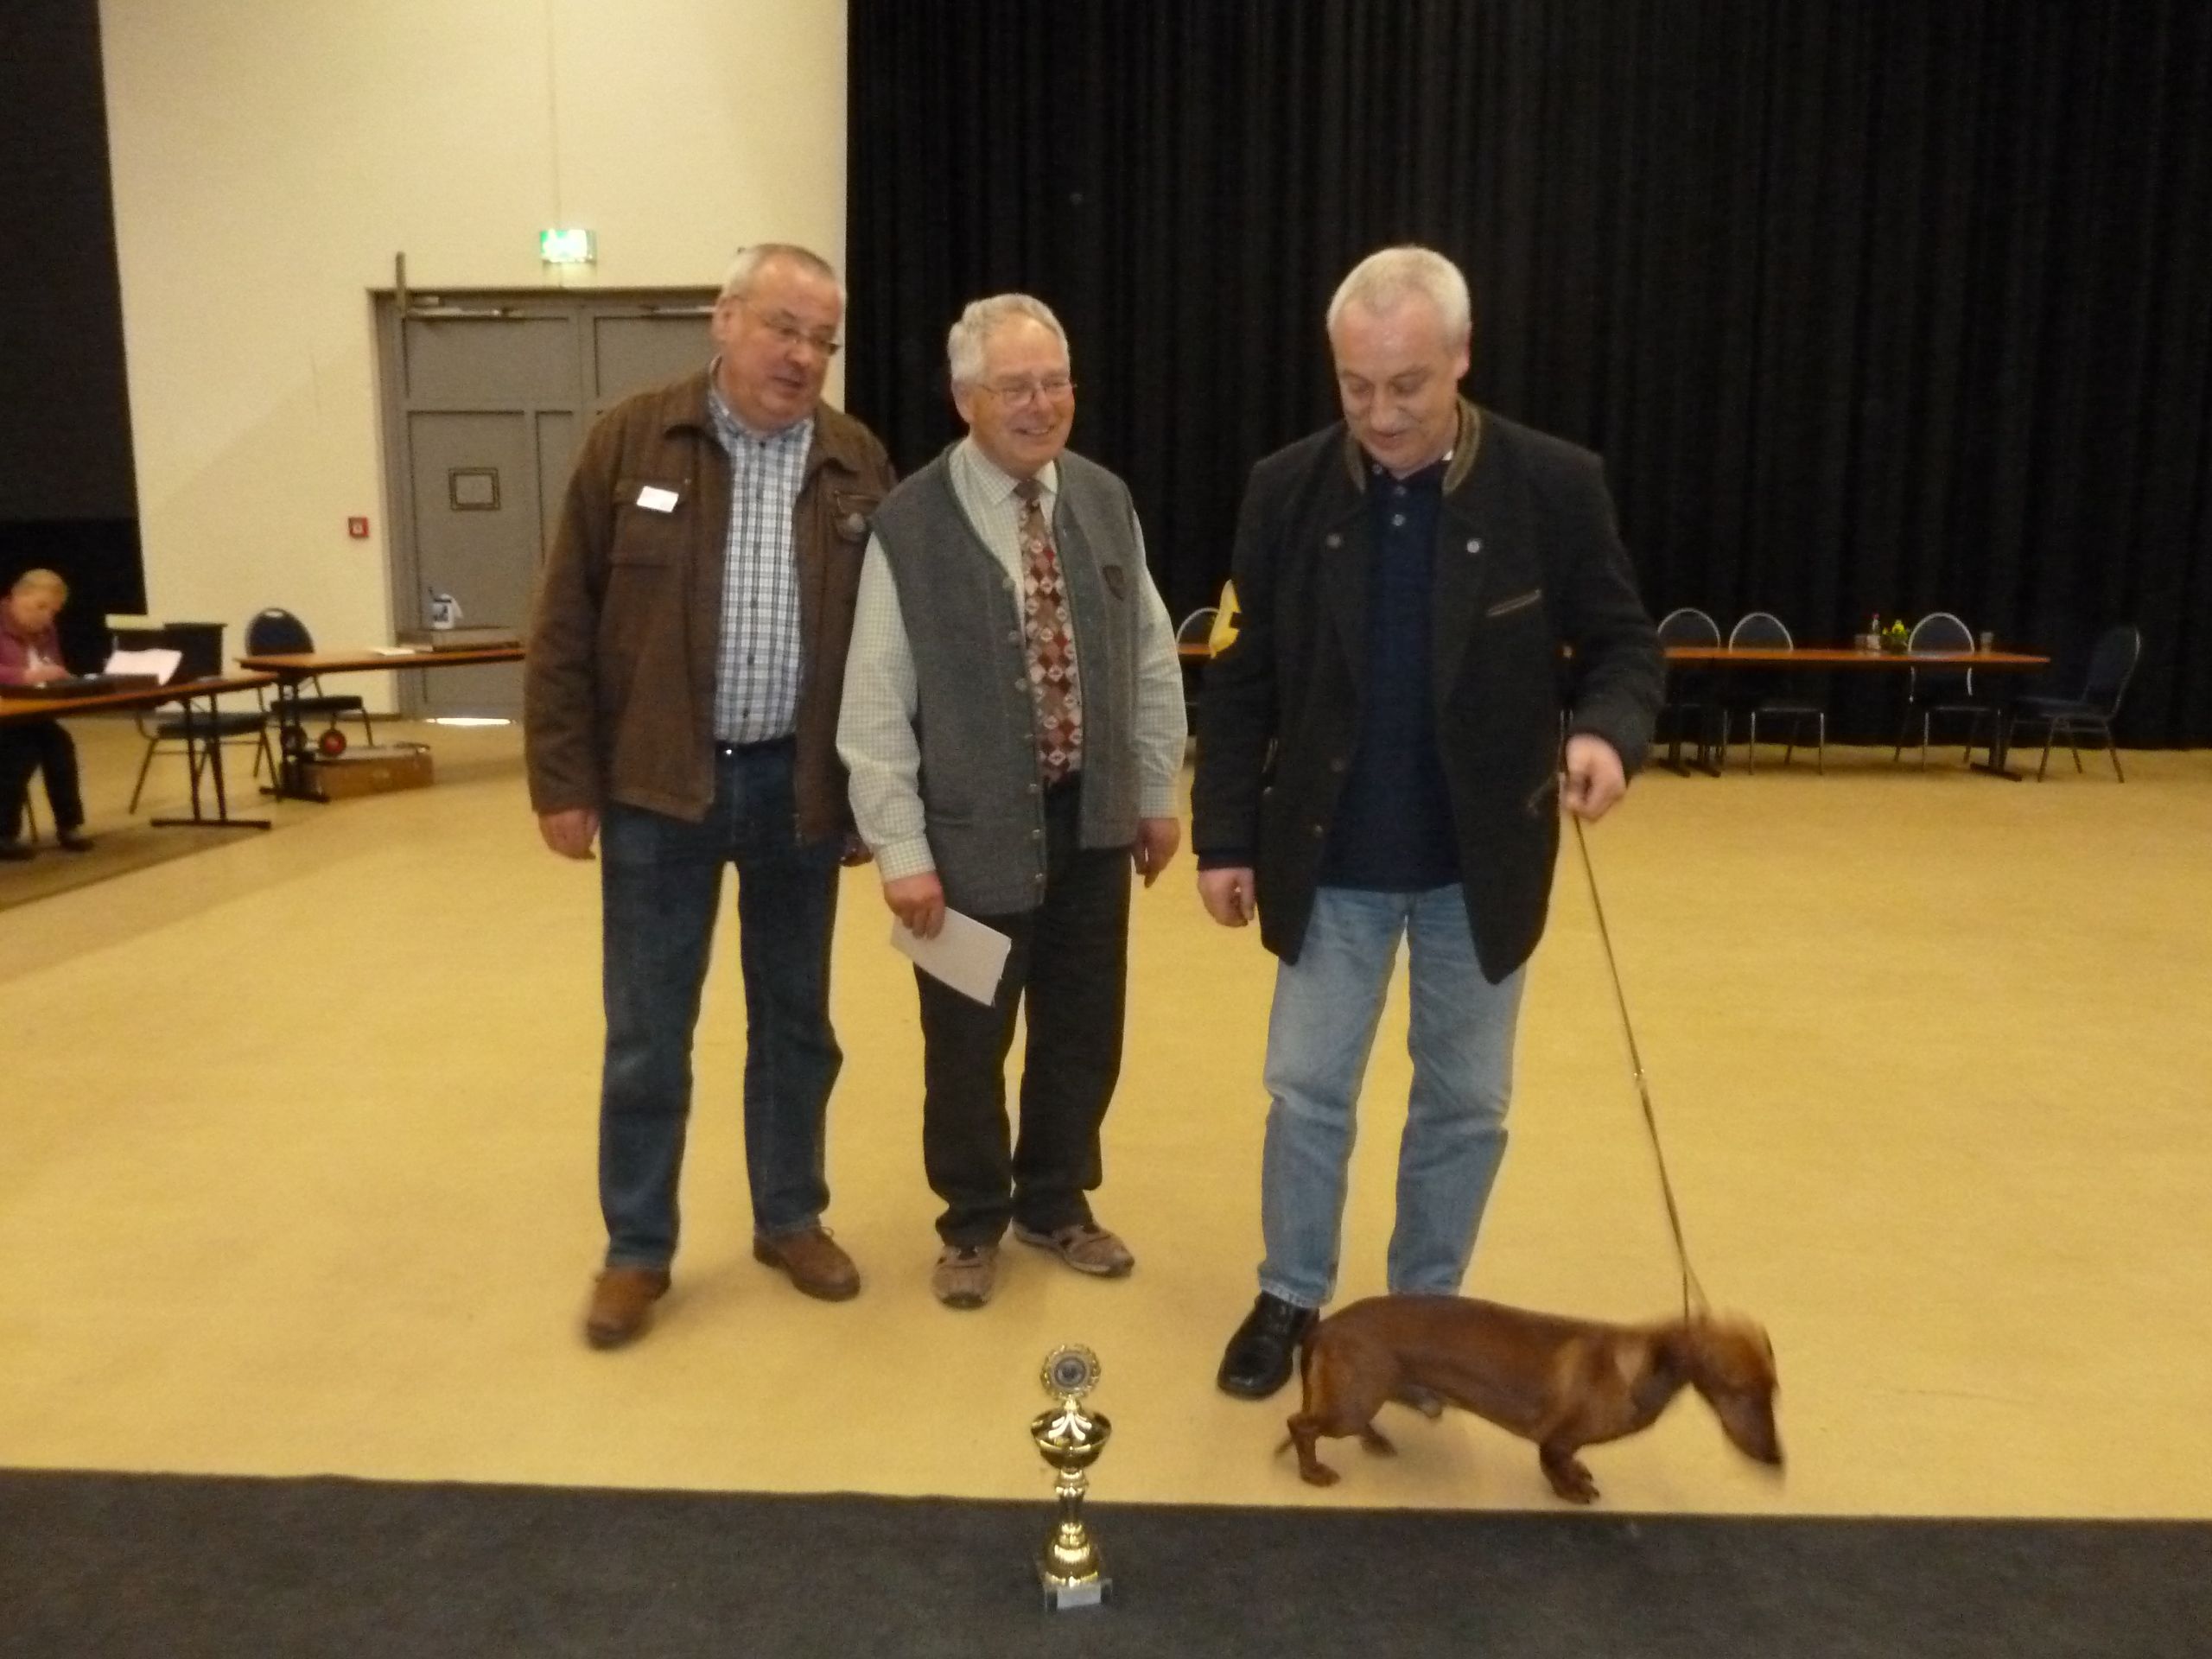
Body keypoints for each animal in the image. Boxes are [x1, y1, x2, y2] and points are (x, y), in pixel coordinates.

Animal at [1284, 1294, 1782, 1502]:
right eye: (1738, 1389)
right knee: (1300, 1425)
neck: (1632, 1370)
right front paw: (1571, 1490)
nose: (1776, 1461)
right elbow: (1555, 1466)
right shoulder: (1555, 1441)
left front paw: (1578, 1475)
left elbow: (1570, 1462)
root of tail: (1326, 1327)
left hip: (1362, 1395)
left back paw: (1375, 1441)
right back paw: (1312, 1473)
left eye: (1773, 1392)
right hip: (1351, 1404)